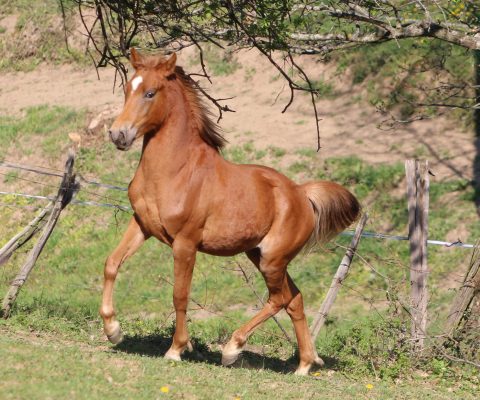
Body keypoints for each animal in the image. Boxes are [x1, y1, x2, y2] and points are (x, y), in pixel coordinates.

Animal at [101, 49, 360, 376]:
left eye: (150, 93)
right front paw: (113, 330)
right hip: (259, 256)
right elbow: (112, 264)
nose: (118, 134)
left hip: (273, 260)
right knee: (295, 299)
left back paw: (232, 349)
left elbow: (180, 294)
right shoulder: (142, 226)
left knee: (280, 299)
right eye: (126, 89)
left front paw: (177, 349)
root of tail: (301, 194)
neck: (175, 170)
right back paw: (304, 365)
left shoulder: (185, 243)